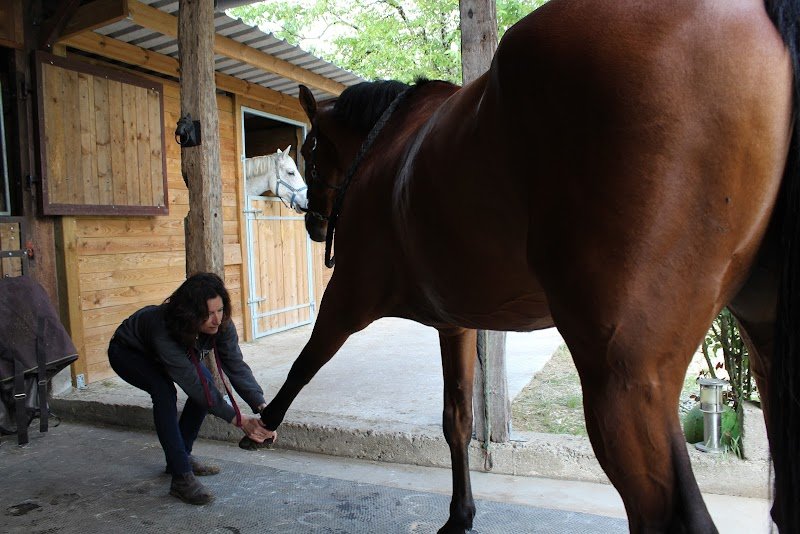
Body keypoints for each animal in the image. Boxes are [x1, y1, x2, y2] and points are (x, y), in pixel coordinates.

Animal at [260, 0, 800, 532]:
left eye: (307, 152)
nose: (312, 221)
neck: (385, 149)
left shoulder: (348, 295)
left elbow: (304, 363)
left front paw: (261, 424)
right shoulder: (454, 325)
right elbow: (457, 419)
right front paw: (460, 515)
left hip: (624, 378)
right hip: (762, 352)